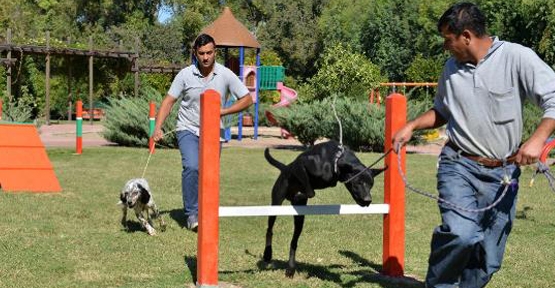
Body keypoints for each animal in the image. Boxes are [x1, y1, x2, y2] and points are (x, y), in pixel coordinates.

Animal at [264, 141, 386, 278]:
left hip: (299, 219)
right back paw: (267, 254)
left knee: (293, 241)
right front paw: (302, 193)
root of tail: (284, 168)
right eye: (358, 182)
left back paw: (290, 268)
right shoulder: (301, 163)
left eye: (371, 184)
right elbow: (310, 190)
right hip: (276, 201)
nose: (367, 200)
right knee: (269, 229)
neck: (335, 159)